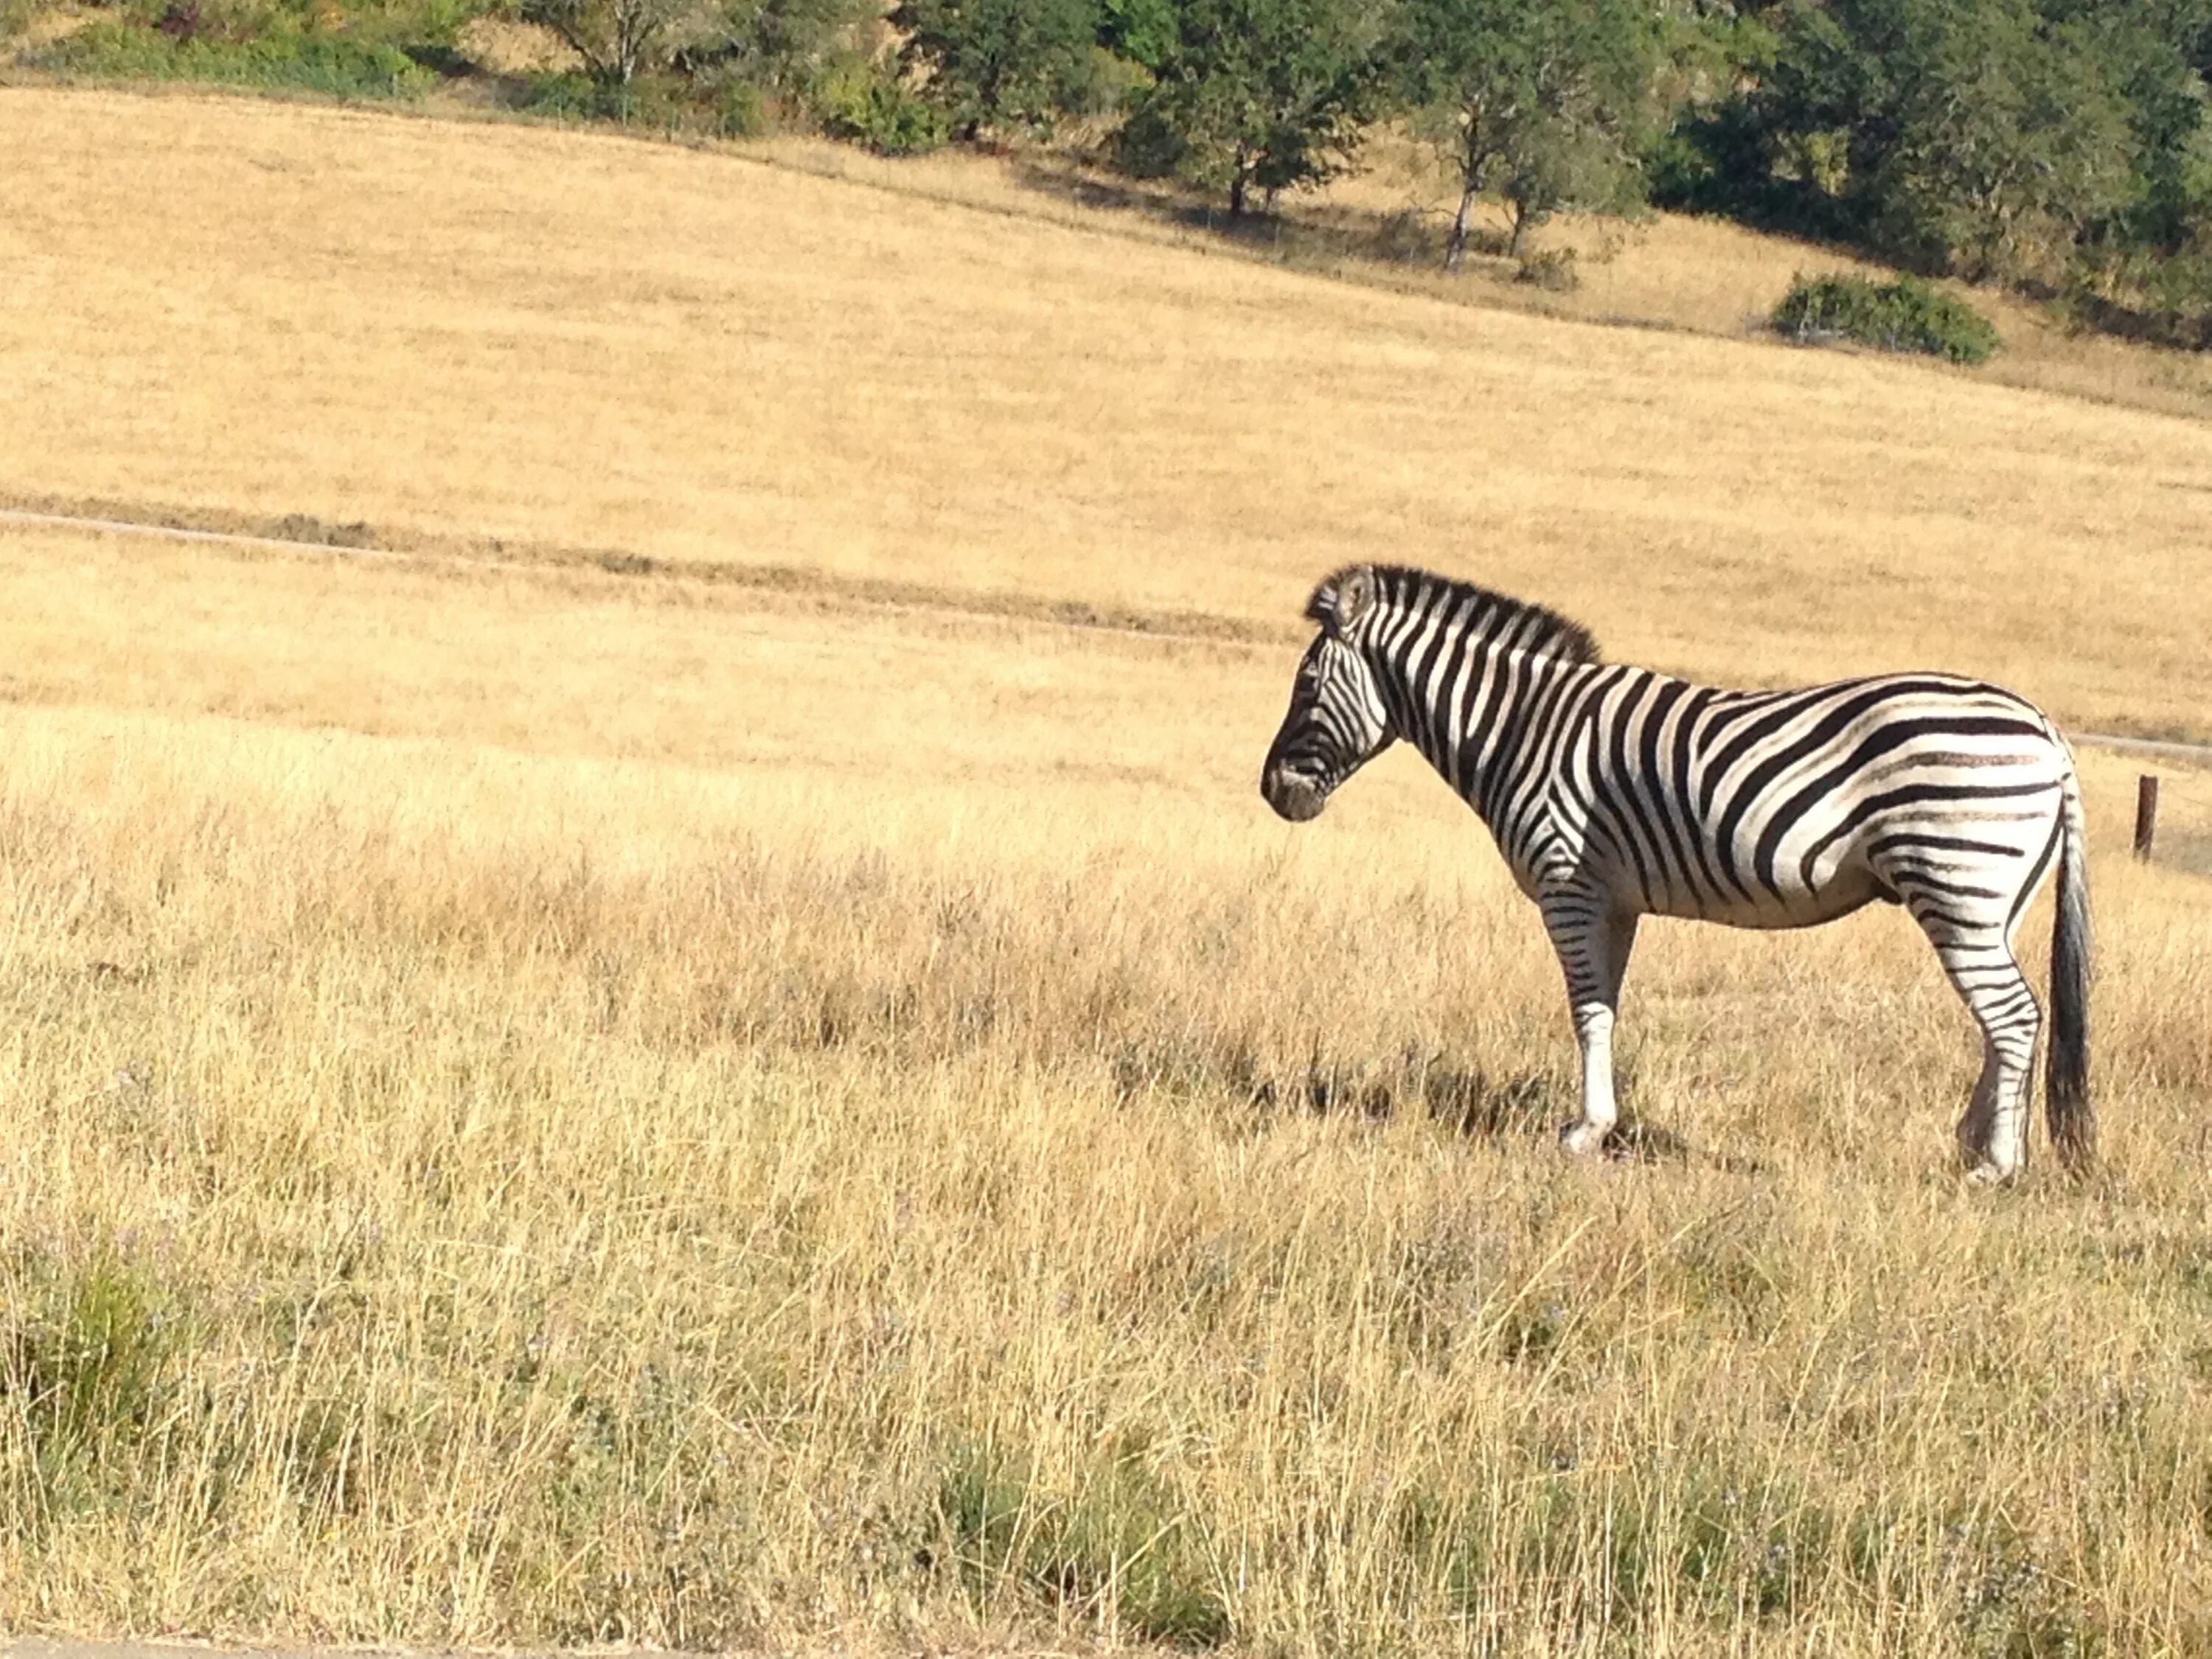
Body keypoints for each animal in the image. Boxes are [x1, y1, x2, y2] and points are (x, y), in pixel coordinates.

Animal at [1265, 571, 2088, 1186]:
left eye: (1306, 684)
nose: (1273, 792)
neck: (1522, 727)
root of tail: (2047, 730)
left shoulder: (1569, 886)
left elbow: (1586, 1011)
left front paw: (1585, 1131)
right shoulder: (1616, 901)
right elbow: (1607, 1006)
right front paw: (1599, 1123)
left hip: (1955, 880)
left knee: (2014, 1016)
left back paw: (1995, 1164)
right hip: (1993, 901)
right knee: (2005, 1019)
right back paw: (1972, 1141)